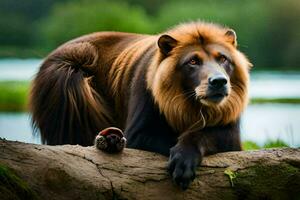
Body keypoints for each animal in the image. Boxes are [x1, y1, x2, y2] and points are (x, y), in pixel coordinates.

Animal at [30, 21, 251, 189]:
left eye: (222, 59)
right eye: (193, 62)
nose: (219, 81)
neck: (189, 103)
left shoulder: (230, 132)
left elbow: (201, 135)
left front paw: (184, 158)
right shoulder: (140, 128)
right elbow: (161, 138)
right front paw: (182, 162)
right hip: (67, 74)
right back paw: (109, 139)